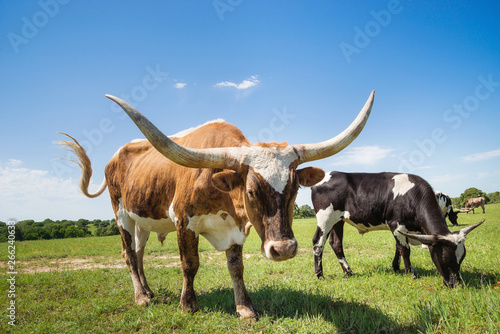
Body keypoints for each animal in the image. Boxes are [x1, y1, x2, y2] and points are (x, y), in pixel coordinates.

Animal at [58, 90, 374, 318]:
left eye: (295, 187)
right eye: (251, 191)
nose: (283, 249)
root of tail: (115, 157)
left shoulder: (235, 227)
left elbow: (236, 267)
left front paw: (245, 307)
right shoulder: (183, 221)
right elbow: (190, 264)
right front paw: (188, 305)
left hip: (143, 221)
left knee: (138, 253)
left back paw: (148, 291)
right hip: (122, 214)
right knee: (127, 254)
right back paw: (141, 297)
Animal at [312, 171, 484, 288]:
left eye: (461, 258)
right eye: (445, 258)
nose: (456, 284)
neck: (414, 196)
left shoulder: (401, 229)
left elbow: (398, 247)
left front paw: (396, 267)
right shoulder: (396, 224)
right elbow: (405, 249)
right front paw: (411, 274)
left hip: (338, 220)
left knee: (336, 244)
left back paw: (348, 271)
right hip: (325, 218)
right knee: (318, 243)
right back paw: (320, 275)